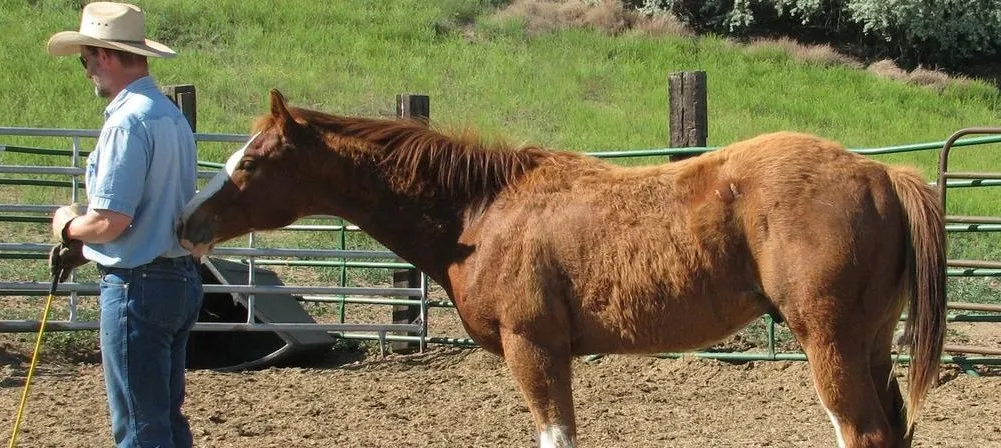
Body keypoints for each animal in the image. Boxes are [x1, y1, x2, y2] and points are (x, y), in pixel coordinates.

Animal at [179, 90, 946, 448]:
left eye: (251, 162)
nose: (187, 224)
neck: (483, 211)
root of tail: (881, 173)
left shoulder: (535, 350)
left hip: (828, 342)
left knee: (861, 431)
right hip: (869, 343)